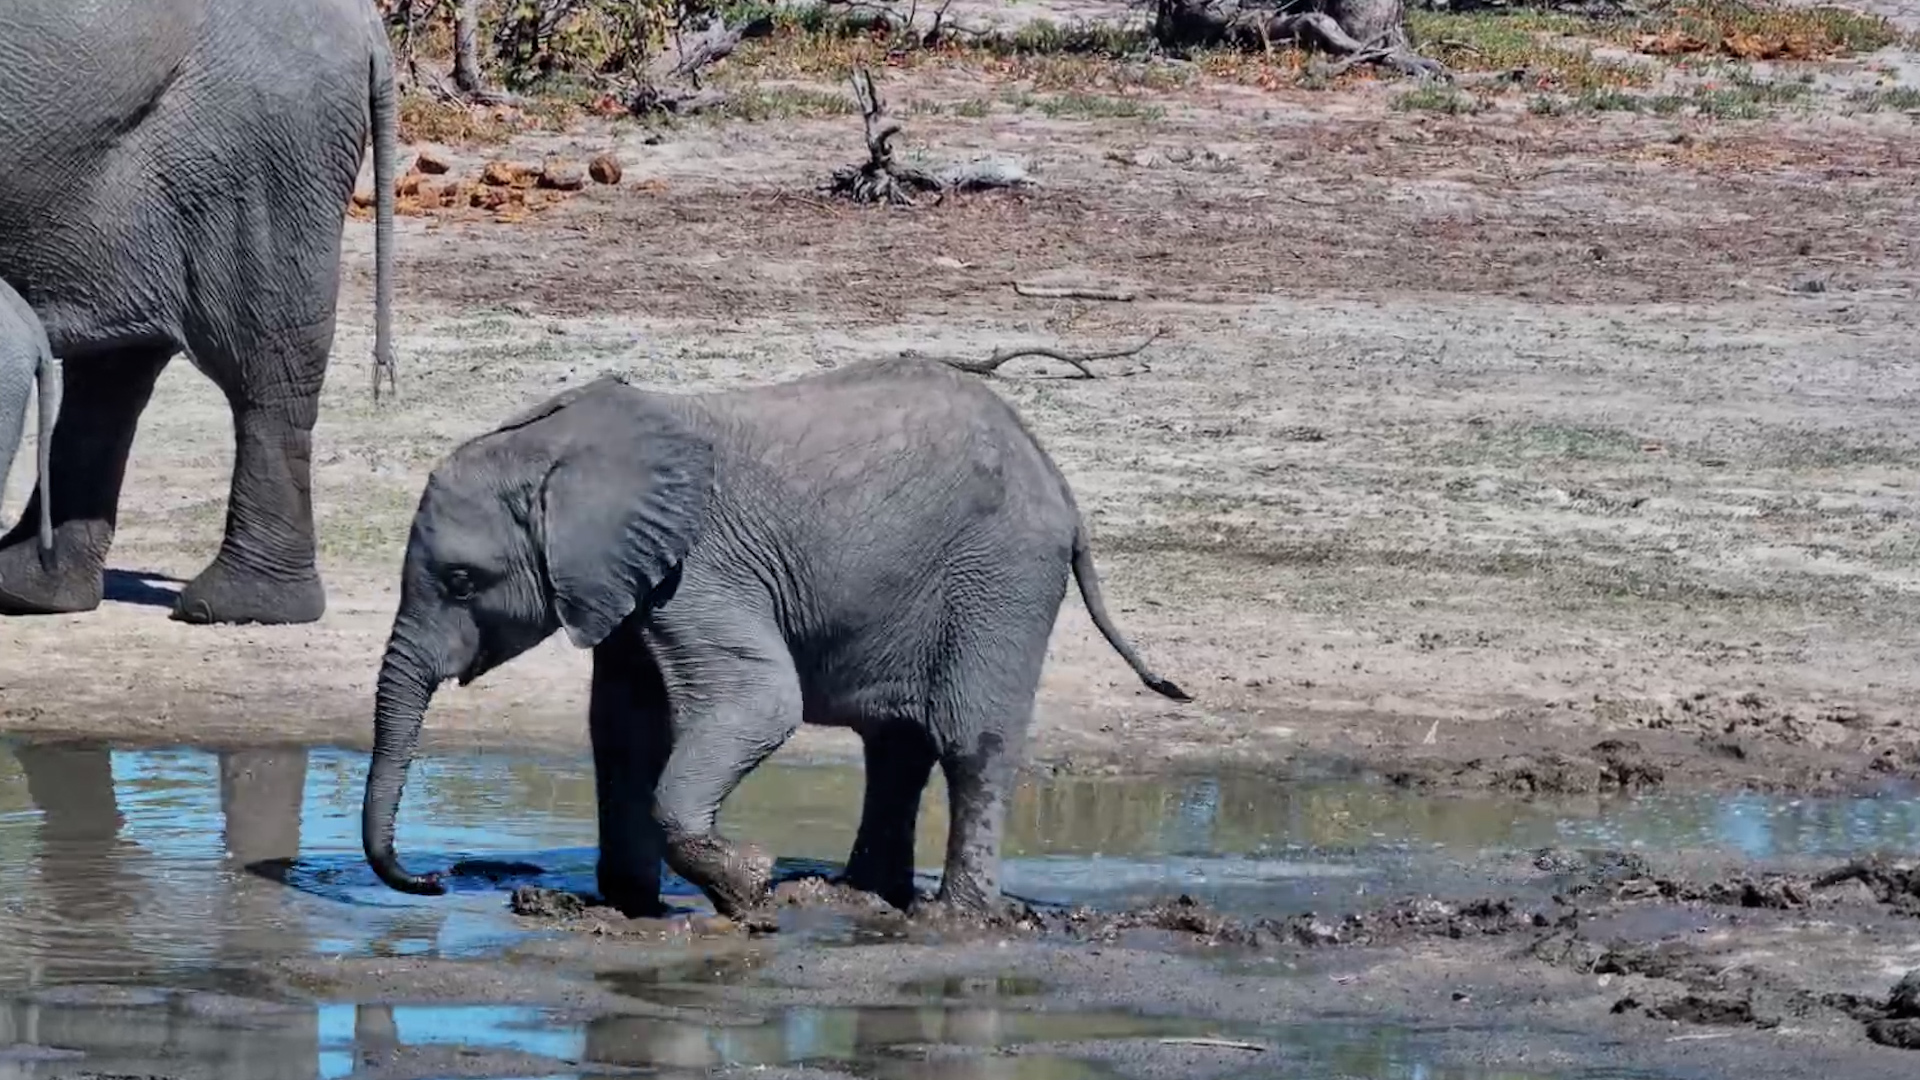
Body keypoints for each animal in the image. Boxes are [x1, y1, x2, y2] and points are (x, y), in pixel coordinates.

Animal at [0, 0, 398, 626]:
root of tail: (371, 29)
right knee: (118, 368)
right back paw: (30, 588)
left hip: (261, 156)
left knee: (265, 363)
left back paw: (237, 605)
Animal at [361, 358, 1190, 920]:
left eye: (462, 581)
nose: (434, 881)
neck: (558, 448)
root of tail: (1056, 478)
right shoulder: (628, 585)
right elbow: (624, 729)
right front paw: (634, 905)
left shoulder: (699, 569)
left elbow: (760, 703)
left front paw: (750, 886)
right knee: (895, 744)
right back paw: (858, 895)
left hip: (1002, 574)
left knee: (968, 740)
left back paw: (953, 918)